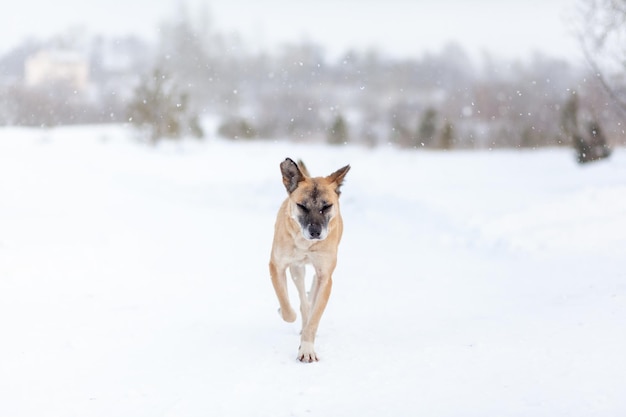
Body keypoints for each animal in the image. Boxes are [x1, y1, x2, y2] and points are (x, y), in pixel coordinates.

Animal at [266, 157, 348, 360]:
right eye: (302, 205)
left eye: (326, 206)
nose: (315, 232)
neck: (306, 244)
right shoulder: (277, 265)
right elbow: (287, 306)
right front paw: (285, 312)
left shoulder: (325, 276)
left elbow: (314, 317)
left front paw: (307, 349)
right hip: (297, 269)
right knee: (303, 299)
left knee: (311, 295)